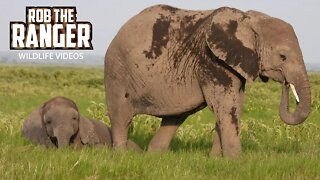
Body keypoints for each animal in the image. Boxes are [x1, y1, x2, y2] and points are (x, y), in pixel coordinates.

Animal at [104, 4, 310, 158]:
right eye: (282, 56)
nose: (286, 83)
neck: (247, 19)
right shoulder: (211, 60)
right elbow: (226, 107)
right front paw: (236, 162)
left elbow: (232, 107)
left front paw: (215, 160)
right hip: (117, 71)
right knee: (121, 115)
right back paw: (122, 155)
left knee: (175, 117)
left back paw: (154, 156)